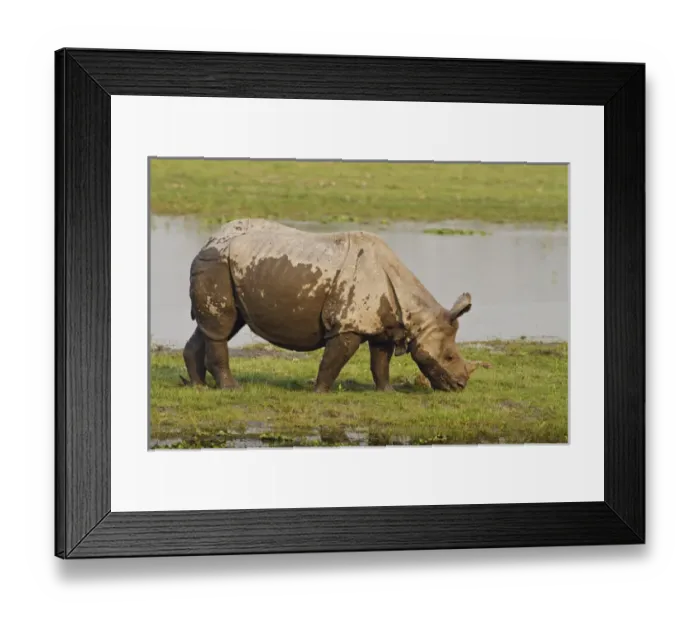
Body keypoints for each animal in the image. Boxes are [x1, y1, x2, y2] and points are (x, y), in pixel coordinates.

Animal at [182, 218, 474, 393]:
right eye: (449, 357)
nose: (461, 385)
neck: (416, 316)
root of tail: (208, 241)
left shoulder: (383, 325)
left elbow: (381, 361)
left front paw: (387, 392)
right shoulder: (347, 324)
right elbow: (333, 360)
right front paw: (320, 392)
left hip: (227, 266)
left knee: (218, 327)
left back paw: (198, 387)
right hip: (217, 264)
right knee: (221, 328)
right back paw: (232, 388)